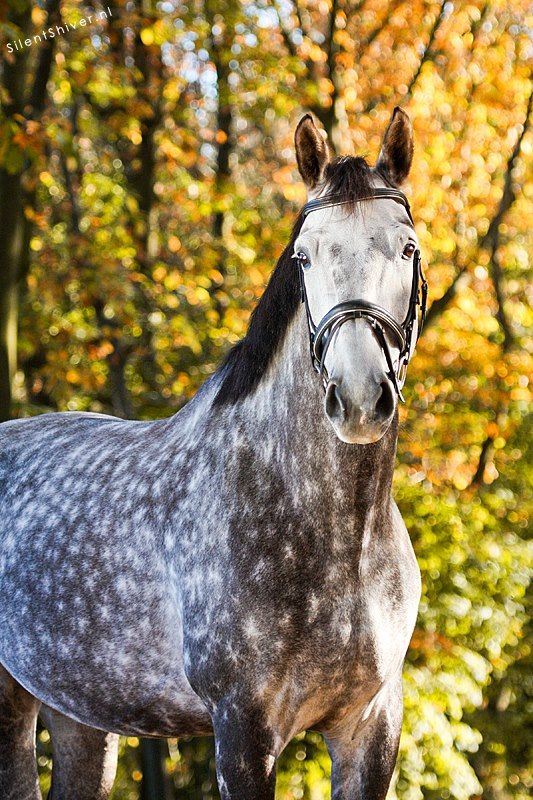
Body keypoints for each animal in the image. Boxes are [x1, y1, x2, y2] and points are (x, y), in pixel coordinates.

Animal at [0, 107, 426, 800]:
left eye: (407, 247)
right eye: (303, 255)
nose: (359, 397)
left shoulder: (371, 726)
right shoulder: (243, 729)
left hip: (80, 714)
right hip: (10, 701)